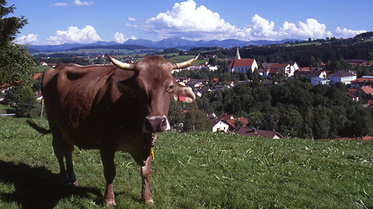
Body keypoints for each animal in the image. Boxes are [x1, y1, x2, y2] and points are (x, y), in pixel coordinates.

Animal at [39, 53, 199, 206]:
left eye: (170, 87)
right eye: (139, 88)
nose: (155, 122)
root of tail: (56, 68)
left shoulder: (148, 143)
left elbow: (146, 172)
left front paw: (147, 197)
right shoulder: (106, 143)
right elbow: (110, 172)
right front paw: (109, 199)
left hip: (67, 128)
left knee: (68, 151)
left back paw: (73, 178)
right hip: (54, 124)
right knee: (59, 150)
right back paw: (65, 178)